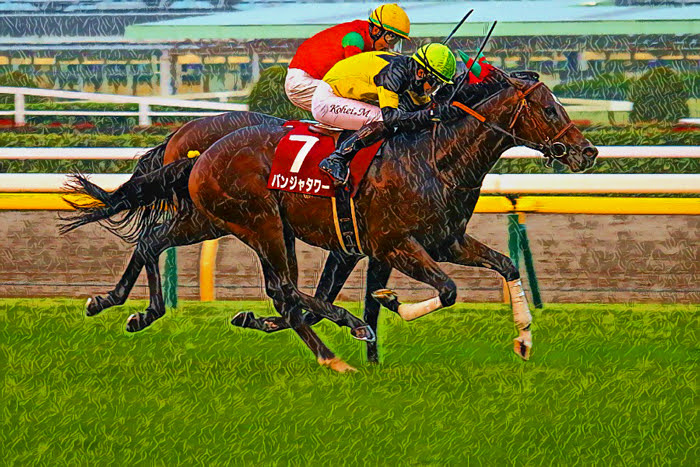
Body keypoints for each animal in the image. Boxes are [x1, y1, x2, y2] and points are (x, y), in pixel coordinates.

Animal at [65, 69, 598, 371]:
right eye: (550, 109)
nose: (587, 151)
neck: (434, 158)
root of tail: (200, 152)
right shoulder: (394, 245)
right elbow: (441, 291)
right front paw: (389, 310)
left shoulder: (440, 242)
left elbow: (505, 265)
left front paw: (524, 341)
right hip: (261, 224)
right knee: (283, 289)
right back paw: (334, 351)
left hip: (211, 219)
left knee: (153, 242)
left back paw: (126, 306)